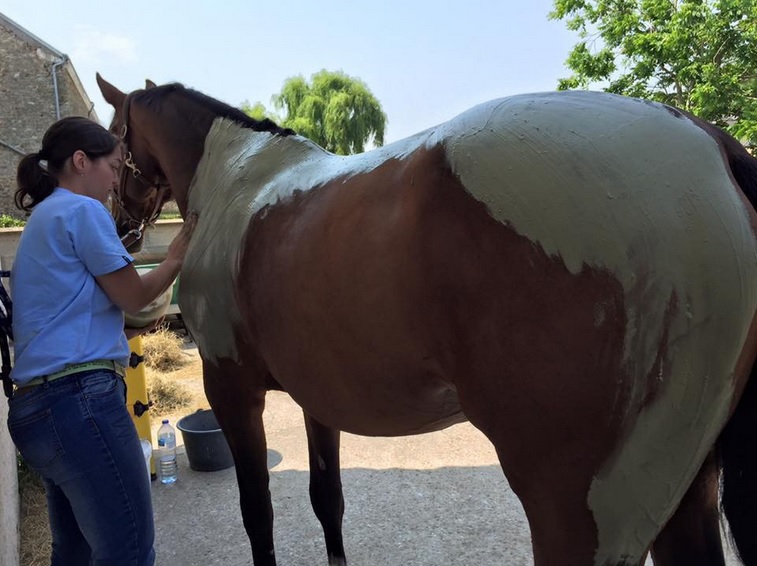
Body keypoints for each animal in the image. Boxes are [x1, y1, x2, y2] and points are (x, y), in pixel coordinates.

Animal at [96, 75, 757, 566]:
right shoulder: (316, 398)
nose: (120, 224)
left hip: (584, 507)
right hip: (686, 492)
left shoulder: (231, 388)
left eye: (113, 135)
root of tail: (709, 145)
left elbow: (258, 513)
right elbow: (326, 500)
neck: (239, 183)